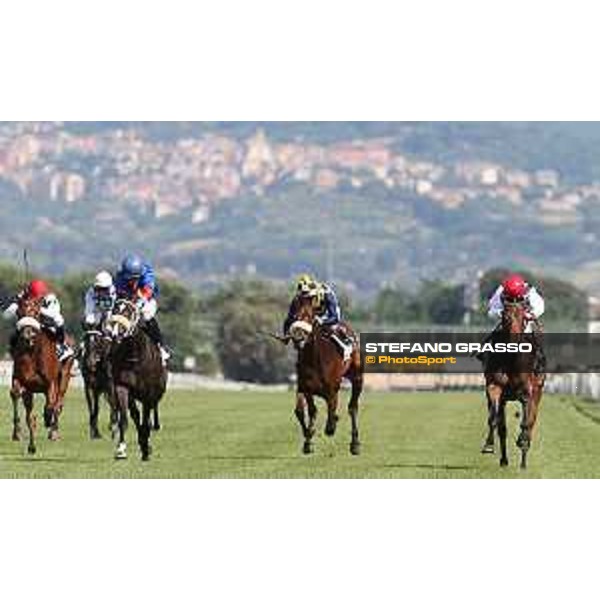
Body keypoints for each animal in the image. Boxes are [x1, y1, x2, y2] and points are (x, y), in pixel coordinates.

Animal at [10, 296, 75, 454]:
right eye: (19, 312)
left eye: (36, 312)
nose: (28, 334)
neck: (32, 352)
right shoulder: (22, 381)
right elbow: (16, 395)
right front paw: (19, 435)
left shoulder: (50, 383)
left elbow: (51, 406)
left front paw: (47, 419)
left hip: (64, 375)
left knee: (58, 403)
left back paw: (53, 431)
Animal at [105, 298, 166, 460]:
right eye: (115, 309)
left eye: (128, 312)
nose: (113, 333)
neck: (134, 355)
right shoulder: (122, 387)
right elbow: (125, 419)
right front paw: (121, 449)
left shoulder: (148, 393)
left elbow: (146, 421)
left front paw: (145, 449)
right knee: (135, 415)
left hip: (155, 393)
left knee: (149, 415)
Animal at [284, 296, 364, 454]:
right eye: (294, 316)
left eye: (309, 316)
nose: (298, 337)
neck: (314, 359)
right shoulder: (304, 387)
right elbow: (305, 410)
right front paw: (308, 440)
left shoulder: (332, 388)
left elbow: (331, 411)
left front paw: (329, 428)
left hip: (357, 377)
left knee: (352, 407)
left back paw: (355, 444)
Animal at [482, 300, 544, 468]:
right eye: (506, 317)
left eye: (523, 317)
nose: (514, 342)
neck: (511, 360)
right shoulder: (494, 387)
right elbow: (494, 419)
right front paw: (489, 445)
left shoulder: (527, 392)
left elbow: (526, 423)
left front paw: (522, 441)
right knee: (502, 428)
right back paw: (504, 460)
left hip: (538, 391)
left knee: (531, 421)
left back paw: (523, 458)